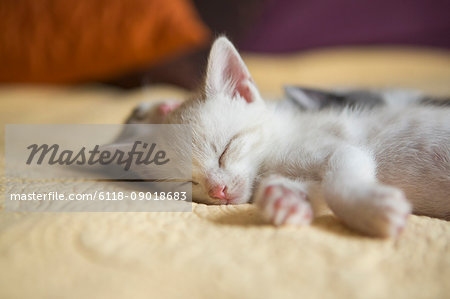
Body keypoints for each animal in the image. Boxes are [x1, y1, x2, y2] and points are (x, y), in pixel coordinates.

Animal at [124, 37, 450, 239]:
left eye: (226, 149)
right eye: (187, 183)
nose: (219, 191)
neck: (270, 157)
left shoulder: (343, 149)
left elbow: (337, 180)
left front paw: (374, 211)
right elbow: (314, 190)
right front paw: (285, 201)